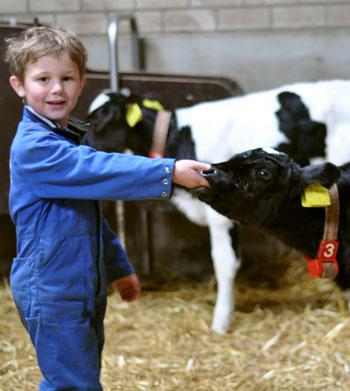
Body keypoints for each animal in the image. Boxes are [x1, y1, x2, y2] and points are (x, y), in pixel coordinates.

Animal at [86, 79, 350, 334]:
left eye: (98, 120)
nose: (82, 145)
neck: (179, 135)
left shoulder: (222, 218)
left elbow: (224, 264)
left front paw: (220, 321)